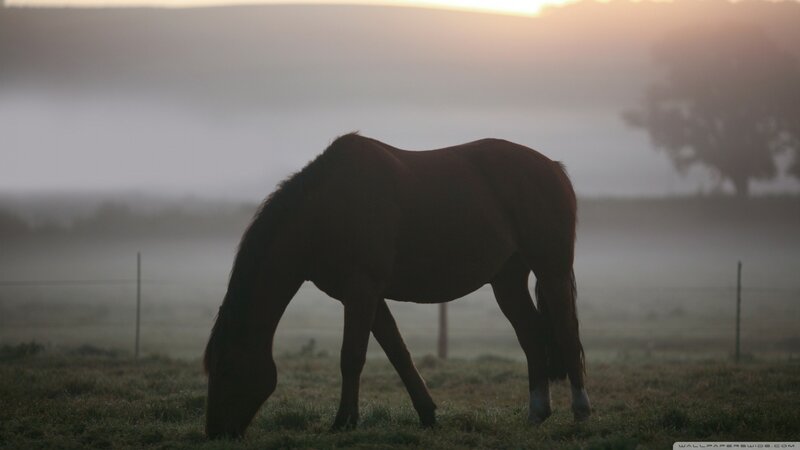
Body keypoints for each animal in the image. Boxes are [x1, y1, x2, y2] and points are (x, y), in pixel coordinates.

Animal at [203, 133, 591, 438]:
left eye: (226, 368)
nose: (215, 432)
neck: (329, 209)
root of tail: (552, 167)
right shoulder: (364, 296)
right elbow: (398, 353)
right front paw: (428, 414)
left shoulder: (362, 290)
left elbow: (352, 356)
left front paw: (343, 423)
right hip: (507, 280)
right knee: (531, 336)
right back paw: (537, 413)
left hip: (552, 271)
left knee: (567, 334)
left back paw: (581, 413)